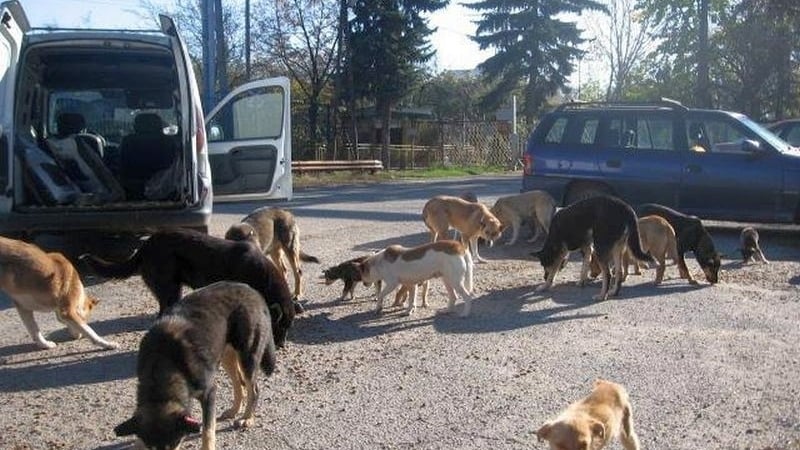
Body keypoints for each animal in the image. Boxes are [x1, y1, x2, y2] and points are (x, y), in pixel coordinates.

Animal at [81, 229, 296, 348]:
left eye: (288, 327)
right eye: (280, 326)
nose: (282, 346)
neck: (261, 274)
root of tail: (145, 246)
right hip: (170, 289)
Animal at [112, 282, 276, 450]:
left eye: (173, 444)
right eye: (152, 447)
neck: (163, 362)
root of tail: (252, 291)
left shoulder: (209, 393)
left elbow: (207, 430)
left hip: (247, 355)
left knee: (253, 389)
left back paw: (247, 418)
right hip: (225, 355)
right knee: (238, 384)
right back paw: (234, 410)